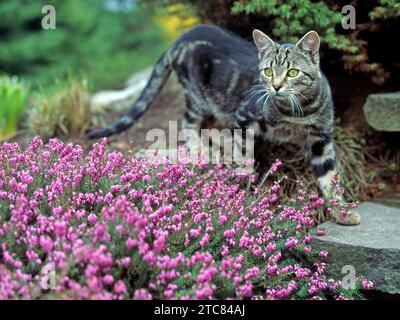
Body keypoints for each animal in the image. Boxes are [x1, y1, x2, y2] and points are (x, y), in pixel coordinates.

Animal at [87, 24, 362, 225]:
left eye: (293, 73)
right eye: (268, 72)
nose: (275, 87)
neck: (297, 112)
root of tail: (182, 37)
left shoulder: (321, 139)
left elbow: (330, 178)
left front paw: (342, 211)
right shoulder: (244, 118)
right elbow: (244, 159)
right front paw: (244, 191)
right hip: (198, 98)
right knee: (188, 124)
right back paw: (200, 150)